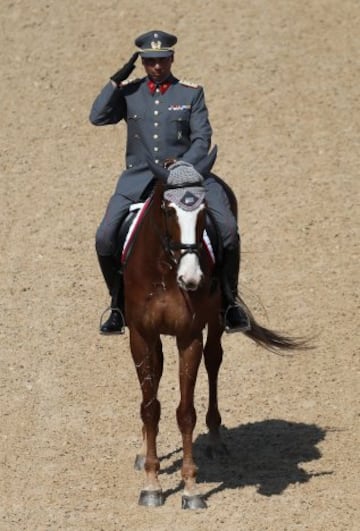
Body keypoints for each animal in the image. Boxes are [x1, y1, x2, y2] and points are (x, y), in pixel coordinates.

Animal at [121, 148, 300, 510]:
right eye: (168, 209)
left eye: (203, 212)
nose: (191, 278)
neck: (164, 273)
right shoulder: (140, 335)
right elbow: (150, 407)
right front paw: (151, 482)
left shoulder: (189, 336)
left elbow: (185, 412)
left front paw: (190, 488)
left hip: (216, 322)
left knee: (214, 361)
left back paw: (216, 439)